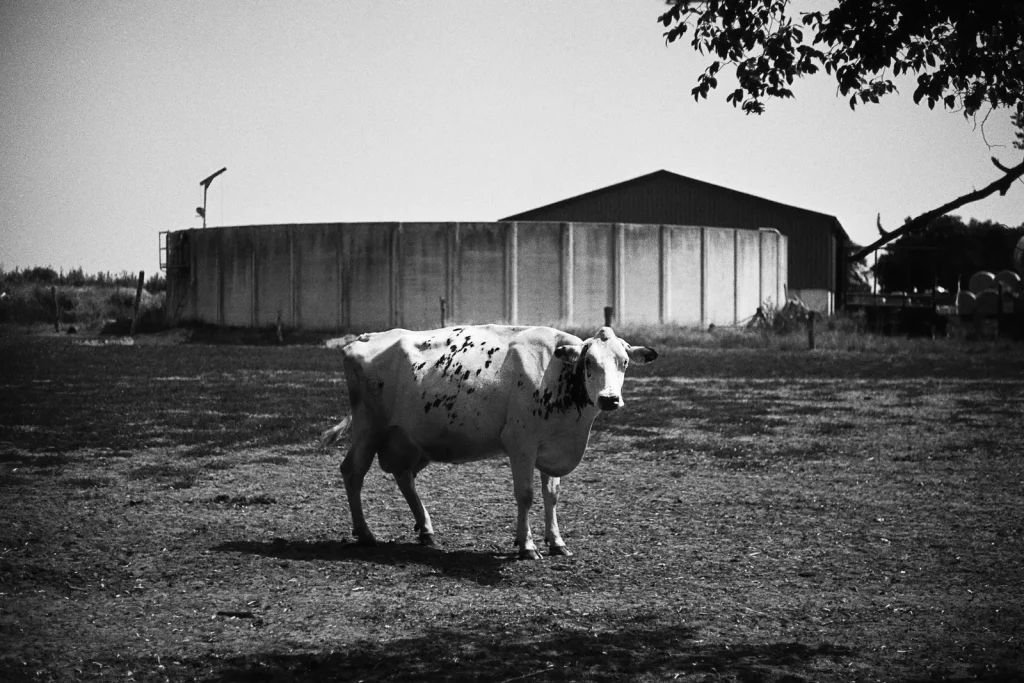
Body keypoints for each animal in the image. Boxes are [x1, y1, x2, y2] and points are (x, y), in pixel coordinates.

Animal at [319, 327, 655, 561]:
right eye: (589, 362)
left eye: (624, 362)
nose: (609, 399)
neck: (555, 374)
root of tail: (365, 337)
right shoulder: (521, 445)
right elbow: (526, 495)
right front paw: (527, 545)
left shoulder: (551, 447)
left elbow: (552, 495)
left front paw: (557, 541)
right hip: (368, 428)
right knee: (353, 472)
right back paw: (365, 532)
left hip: (410, 439)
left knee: (404, 477)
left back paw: (426, 529)